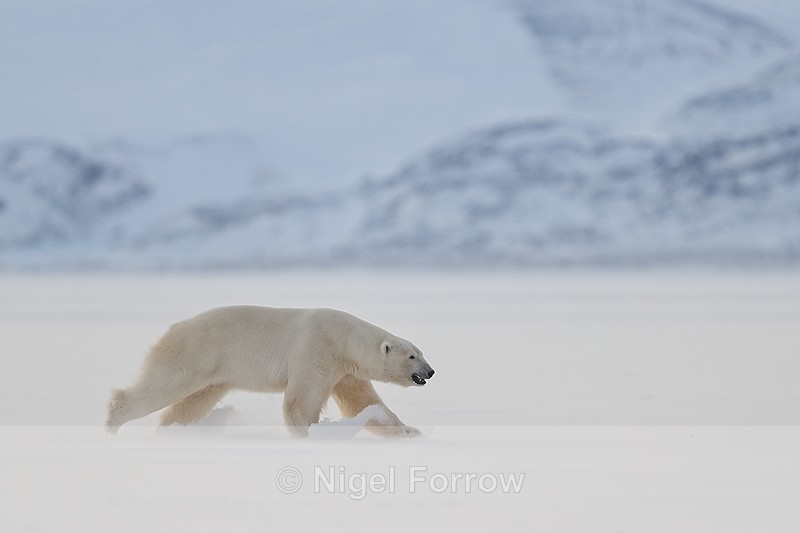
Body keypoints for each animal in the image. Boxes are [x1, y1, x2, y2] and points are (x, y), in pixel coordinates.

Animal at [106, 306, 435, 437]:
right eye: (412, 355)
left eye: (420, 352)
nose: (431, 372)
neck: (344, 338)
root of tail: (172, 329)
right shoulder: (316, 347)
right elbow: (301, 399)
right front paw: (309, 432)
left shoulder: (345, 370)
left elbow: (363, 401)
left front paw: (410, 431)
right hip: (195, 352)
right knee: (166, 384)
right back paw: (113, 420)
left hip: (213, 373)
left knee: (193, 401)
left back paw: (175, 431)